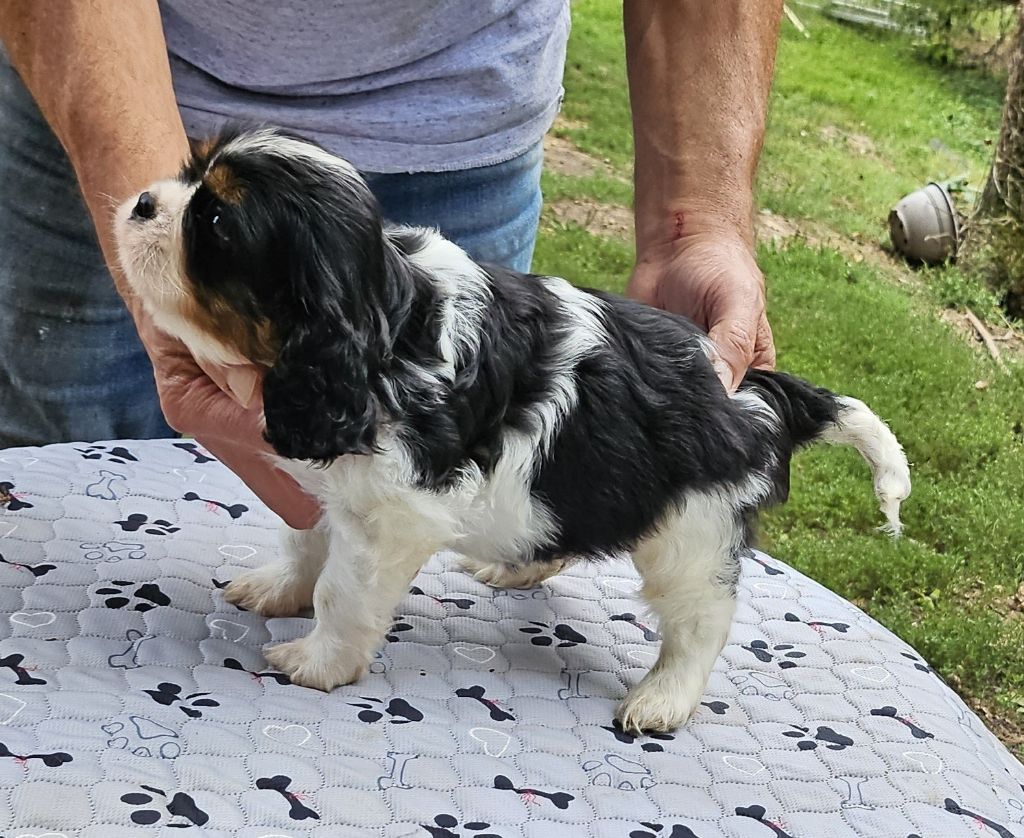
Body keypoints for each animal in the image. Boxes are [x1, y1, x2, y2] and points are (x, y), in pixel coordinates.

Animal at [115, 127, 910, 732]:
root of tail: (756, 394)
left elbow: (343, 590)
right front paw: (281, 589)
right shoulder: (335, 481)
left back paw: (663, 699)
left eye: (216, 224)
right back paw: (518, 565)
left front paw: (317, 662)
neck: (387, 323)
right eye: (189, 174)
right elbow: (308, 540)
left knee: (701, 620)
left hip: (692, 532)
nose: (143, 202)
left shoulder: (392, 517)